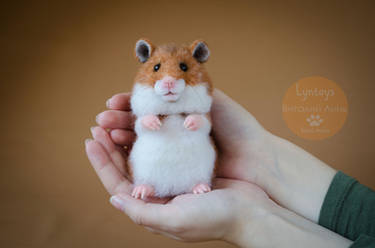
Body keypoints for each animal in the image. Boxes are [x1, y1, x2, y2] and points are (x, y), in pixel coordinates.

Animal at [129, 37, 217, 199]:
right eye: (156, 67)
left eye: (184, 66)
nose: (169, 82)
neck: (173, 111)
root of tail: (172, 189)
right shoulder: (139, 120)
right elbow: (143, 121)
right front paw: (156, 124)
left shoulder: (206, 117)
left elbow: (200, 119)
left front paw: (187, 124)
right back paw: (141, 192)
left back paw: (201, 189)